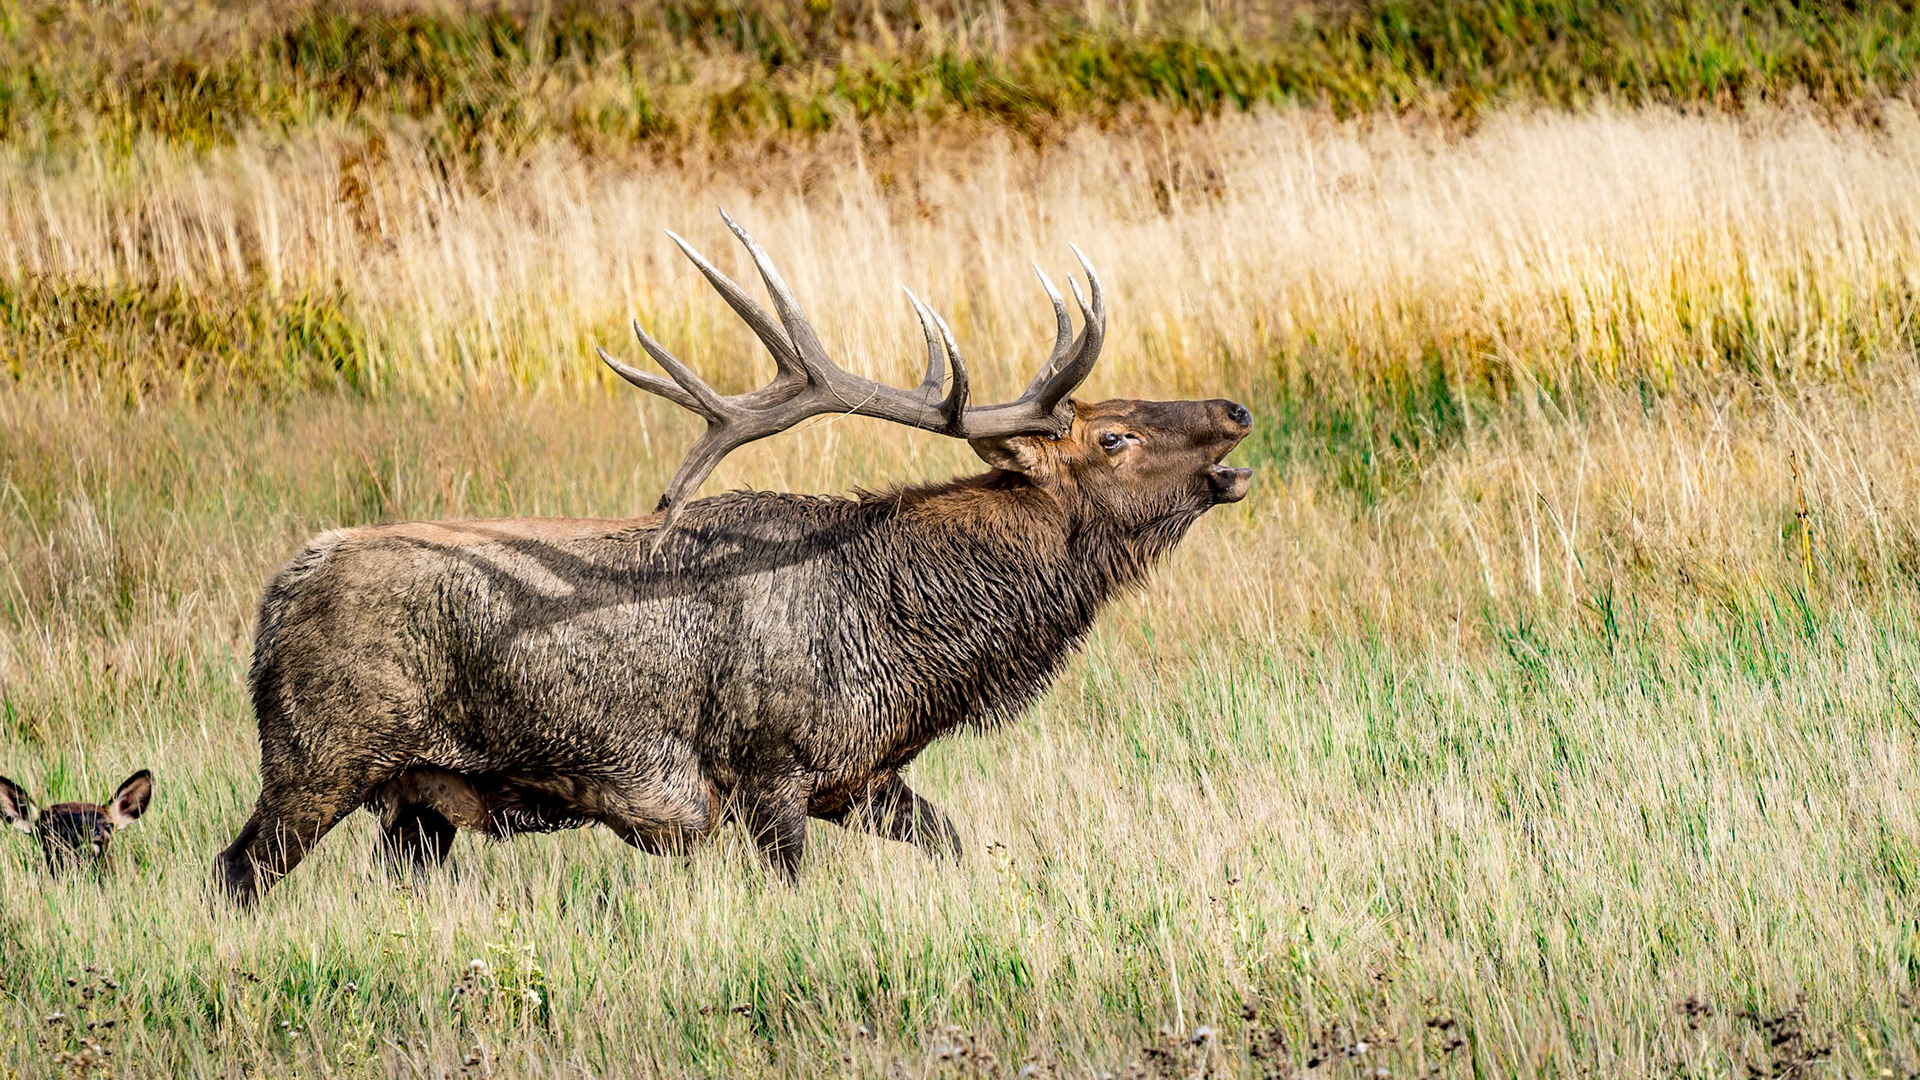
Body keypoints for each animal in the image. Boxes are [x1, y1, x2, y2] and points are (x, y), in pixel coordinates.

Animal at [215, 212, 1252, 903]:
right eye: (1113, 436)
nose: (1237, 409)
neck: (914, 648)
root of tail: (278, 593)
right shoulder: (768, 766)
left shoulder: (865, 778)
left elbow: (953, 843)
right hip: (318, 754)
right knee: (234, 871)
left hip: (422, 800)